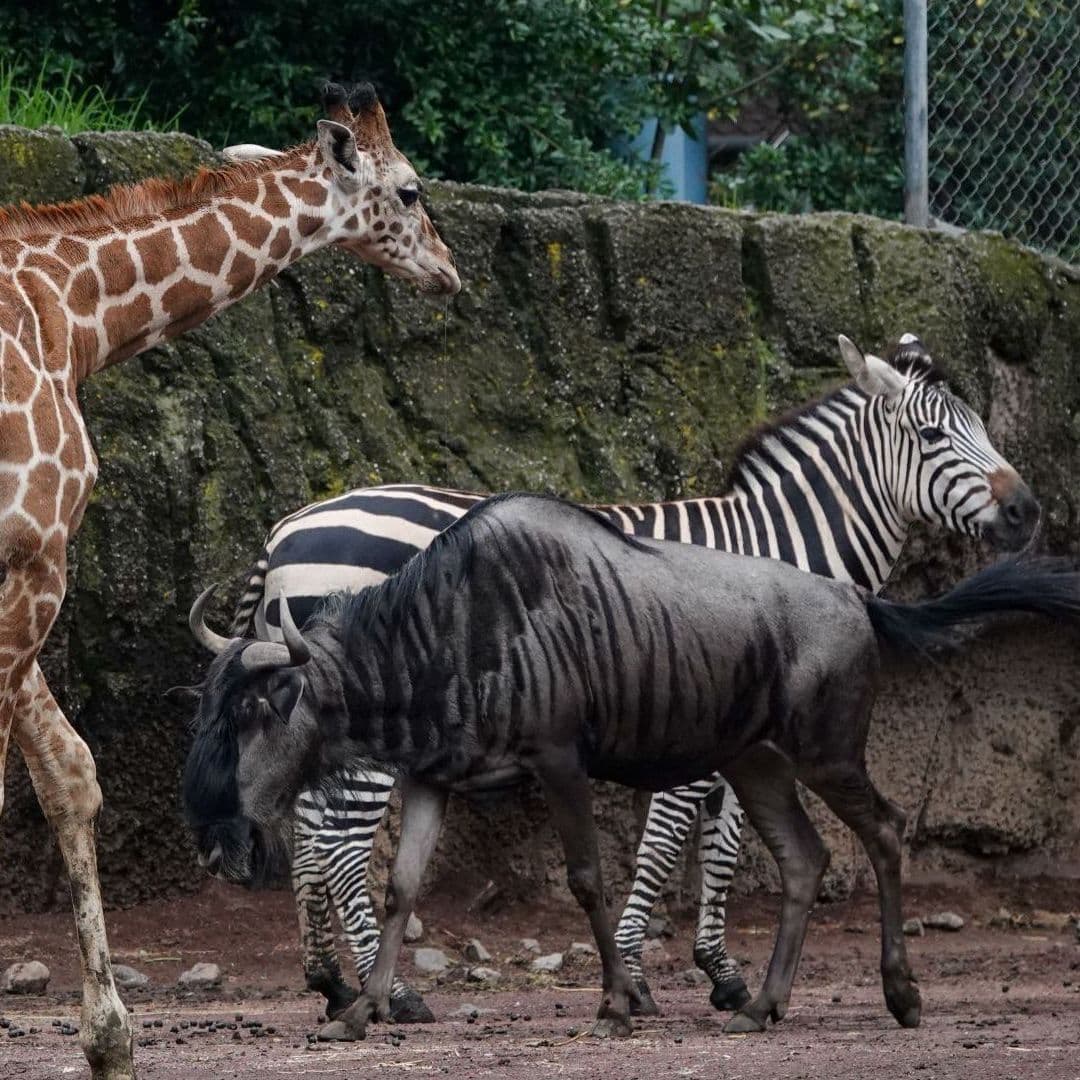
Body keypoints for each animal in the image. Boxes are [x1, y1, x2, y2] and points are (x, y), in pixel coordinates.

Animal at [0, 83, 458, 1080]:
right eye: (410, 190)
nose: (448, 271)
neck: (73, 312)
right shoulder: (32, 550)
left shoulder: (24, 561)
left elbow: (69, 772)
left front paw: (111, 1040)